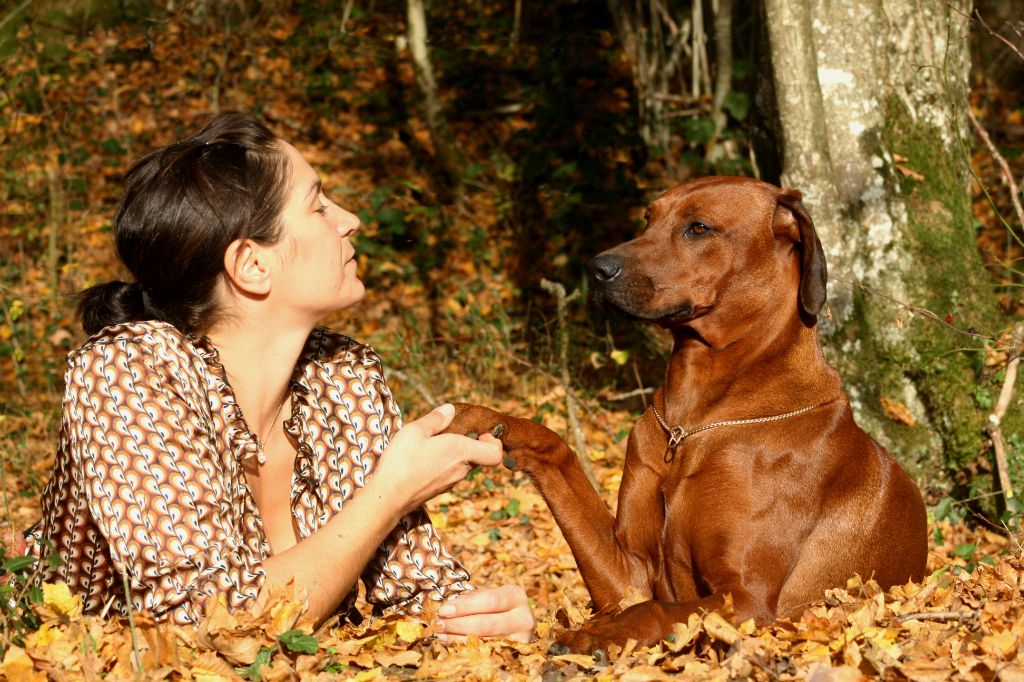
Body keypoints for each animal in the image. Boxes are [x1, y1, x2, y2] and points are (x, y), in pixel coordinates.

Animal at [448, 175, 929, 647]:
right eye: (648, 218)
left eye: (698, 227)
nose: (596, 269)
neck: (692, 421)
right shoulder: (629, 571)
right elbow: (558, 449)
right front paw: (477, 418)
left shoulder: (747, 597)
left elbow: (654, 608)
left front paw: (600, 632)